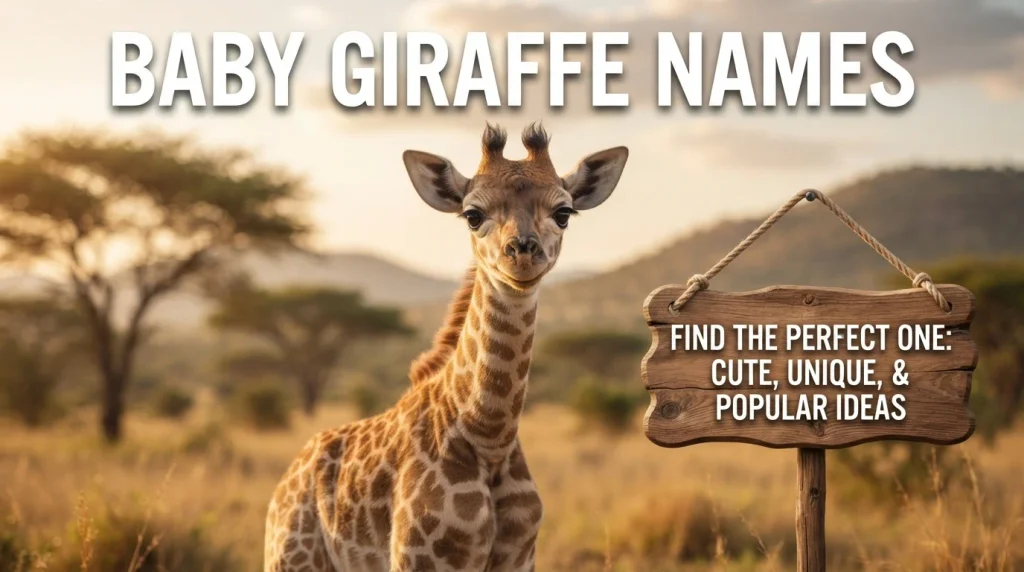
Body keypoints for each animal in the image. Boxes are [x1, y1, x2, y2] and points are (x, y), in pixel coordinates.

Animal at [263, 123, 629, 572]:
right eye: (473, 215)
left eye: (564, 212)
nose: (523, 254)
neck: (489, 436)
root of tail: (287, 478)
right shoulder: (420, 560)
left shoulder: (520, 557)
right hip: (291, 558)